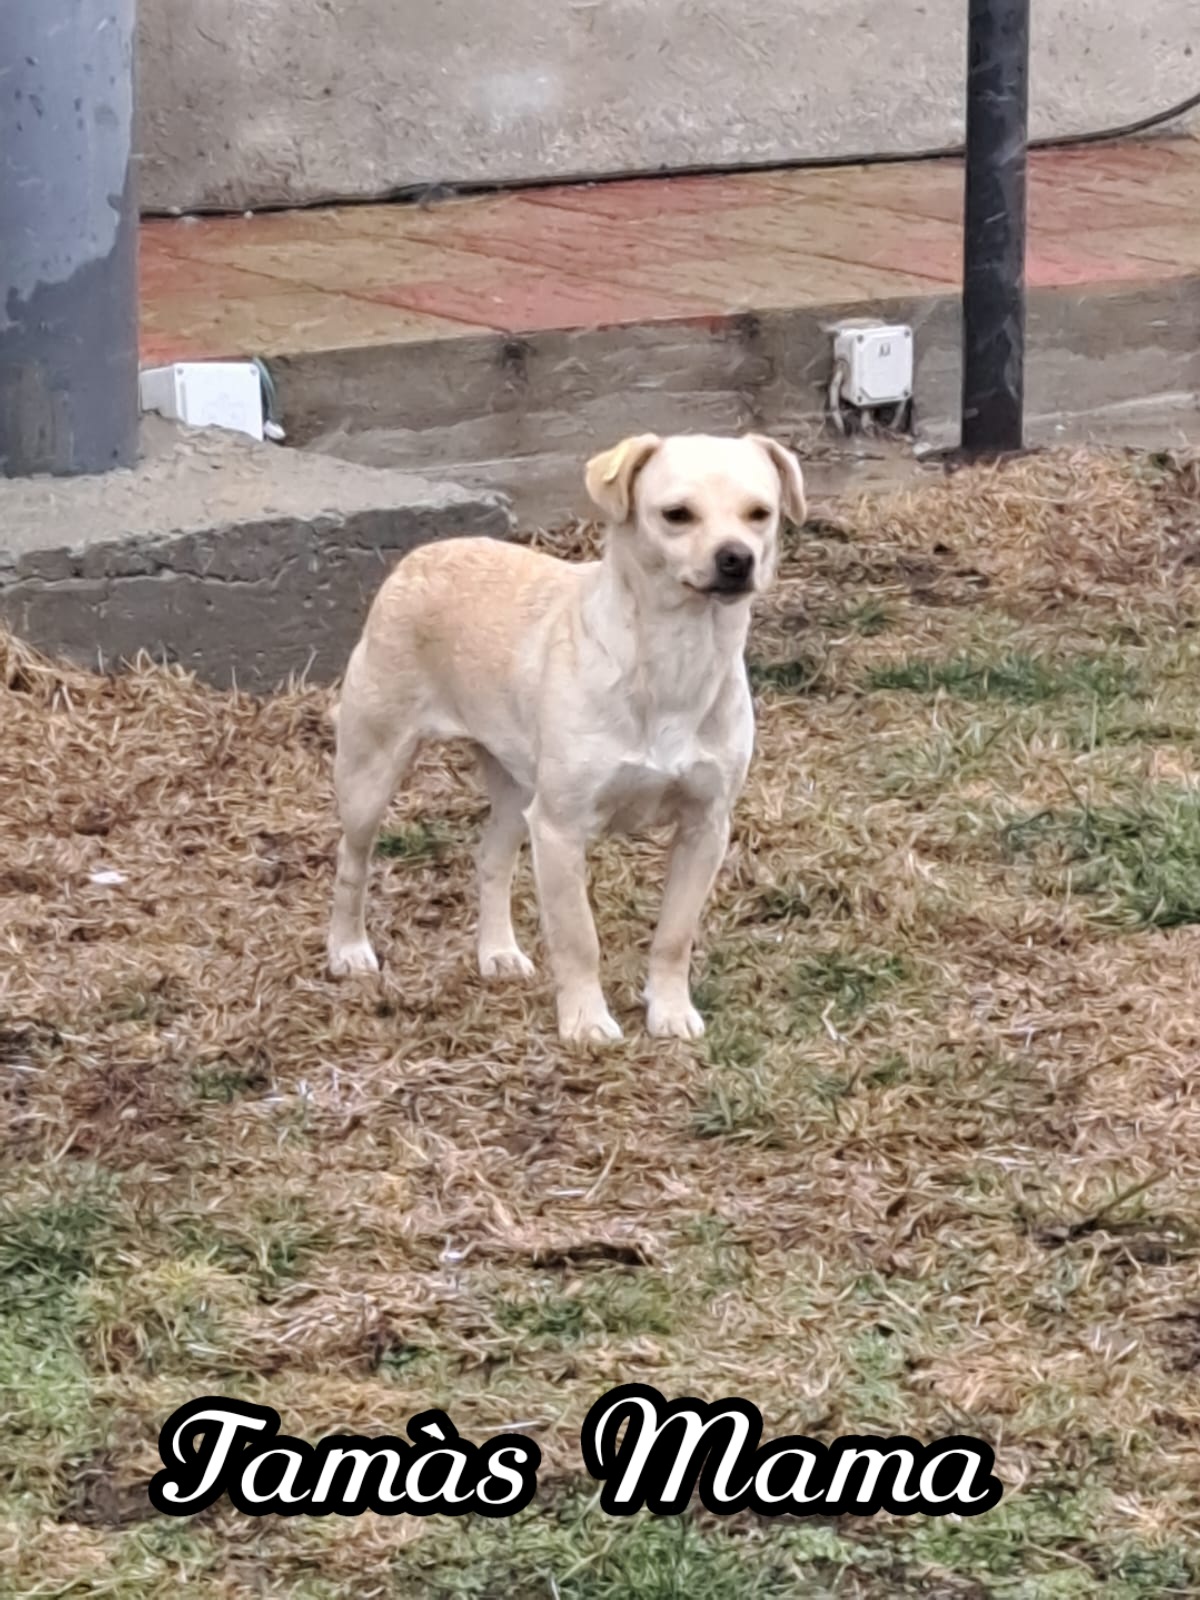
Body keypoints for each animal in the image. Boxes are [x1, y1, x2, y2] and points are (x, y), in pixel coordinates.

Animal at [325, 432, 805, 1044]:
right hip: (371, 772)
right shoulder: (560, 830)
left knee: (491, 859)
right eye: (676, 515)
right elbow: (579, 939)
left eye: (760, 514)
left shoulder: (706, 827)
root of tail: (421, 555)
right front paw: (586, 1022)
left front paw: (669, 1011)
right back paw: (347, 949)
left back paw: (497, 952)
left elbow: (674, 935)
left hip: (516, 791)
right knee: (352, 860)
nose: (737, 558)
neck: (676, 655)